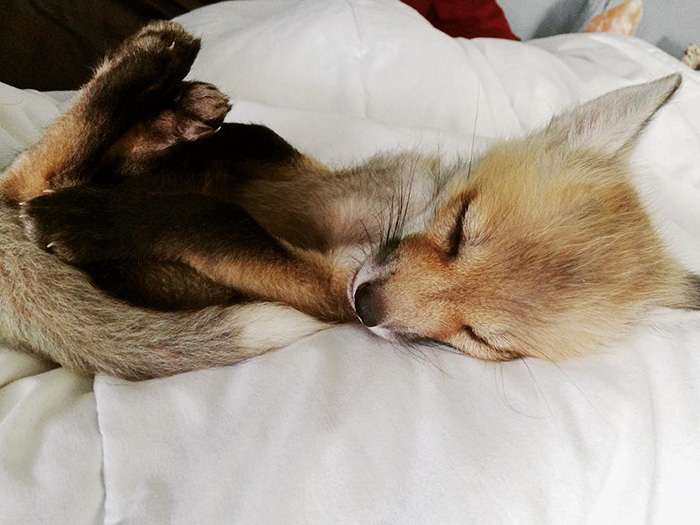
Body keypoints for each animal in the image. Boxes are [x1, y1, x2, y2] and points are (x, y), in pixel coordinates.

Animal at [0, 21, 697, 380]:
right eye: (459, 227)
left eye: (481, 339)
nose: (369, 307)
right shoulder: (325, 179)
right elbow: (262, 142)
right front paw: (186, 128)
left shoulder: (318, 287)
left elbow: (216, 221)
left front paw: (99, 217)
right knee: (38, 167)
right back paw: (153, 86)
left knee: (40, 177)